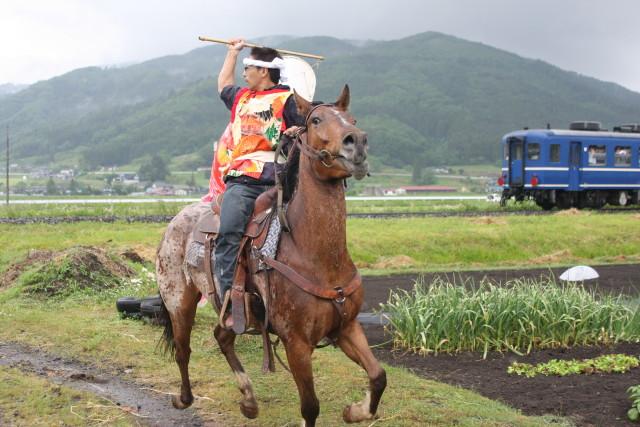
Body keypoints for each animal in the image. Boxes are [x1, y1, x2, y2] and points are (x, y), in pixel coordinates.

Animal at [155, 85, 387, 426]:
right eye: (316, 120)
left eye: (353, 119)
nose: (356, 142)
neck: (316, 256)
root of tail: (176, 220)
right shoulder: (297, 343)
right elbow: (310, 406)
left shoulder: (347, 327)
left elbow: (378, 375)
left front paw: (355, 410)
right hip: (179, 303)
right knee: (183, 351)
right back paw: (184, 398)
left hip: (231, 312)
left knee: (222, 337)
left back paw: (249, 400)